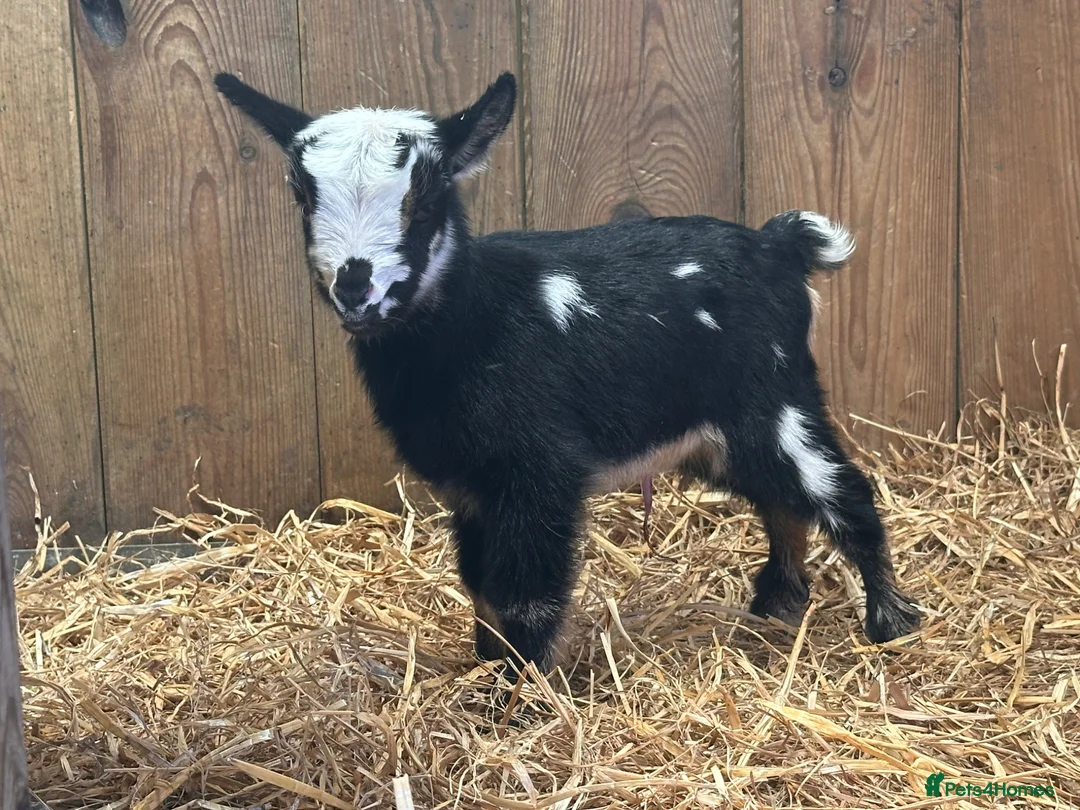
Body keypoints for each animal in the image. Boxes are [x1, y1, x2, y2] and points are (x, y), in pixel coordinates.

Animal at [215, 71, 921, 674]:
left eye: (426, 198)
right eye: (302, 193)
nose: (355, 289)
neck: (479, 321)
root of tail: (780, 245)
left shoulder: (539, 472)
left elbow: (525, 592)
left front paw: (522, 698)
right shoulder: (472, 486)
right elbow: (481, 584)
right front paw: (488, 669)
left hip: (777, 400)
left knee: (843, 492)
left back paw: (889, 623)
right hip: (721, 432)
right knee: (781, 500)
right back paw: (778, 604)